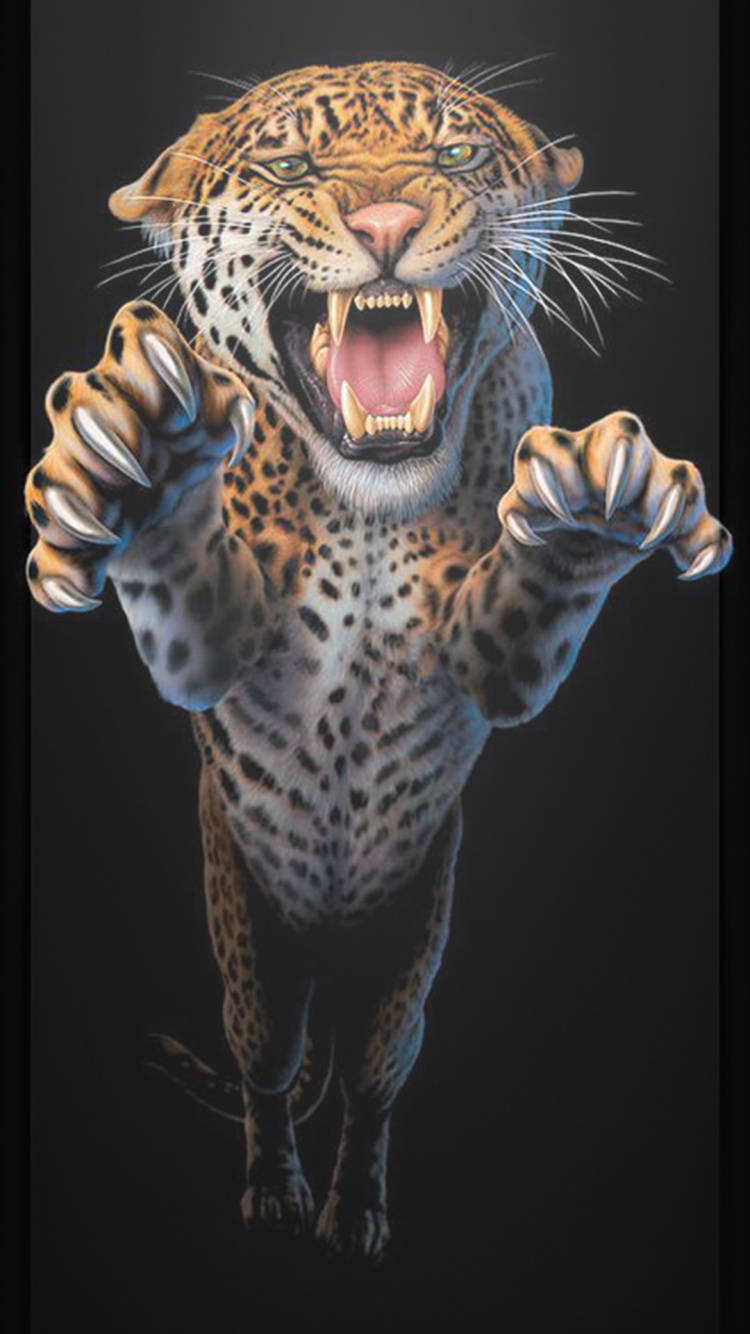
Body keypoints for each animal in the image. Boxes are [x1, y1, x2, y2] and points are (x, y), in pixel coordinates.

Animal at [24, 60, 732, 1261]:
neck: (369, 511)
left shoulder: (495, 658)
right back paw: (273, 1193)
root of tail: (328, 939)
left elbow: (531, 608)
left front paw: (599, 500)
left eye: (455, 156)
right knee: (268, 1073)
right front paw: (141, 458)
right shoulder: (214, 643)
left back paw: (355, 1210)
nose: (388, 224)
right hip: (250, 948)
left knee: (370, 1082)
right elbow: (179, 584)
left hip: (411, 953)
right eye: (291, 163)